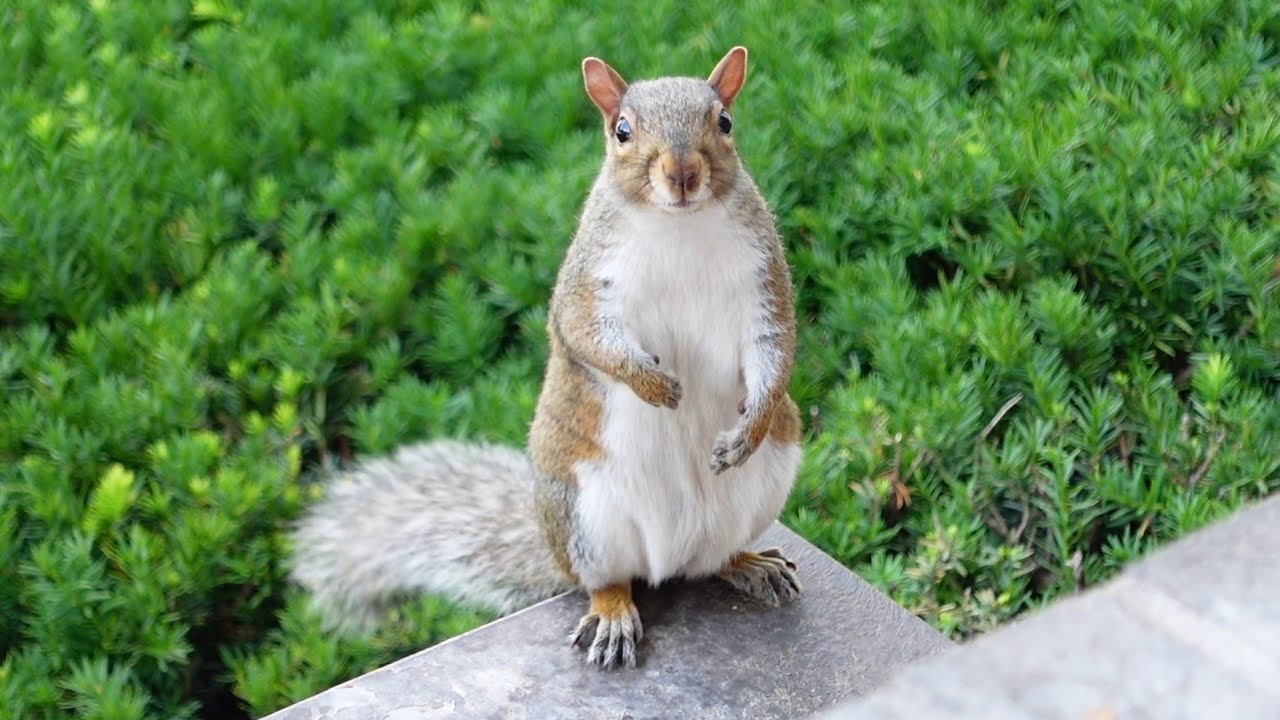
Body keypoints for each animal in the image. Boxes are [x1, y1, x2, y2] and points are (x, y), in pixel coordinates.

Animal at [290, 46, 803, 670]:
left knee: (713, 560)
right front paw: (654, 386)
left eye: (724, 121)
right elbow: (584, 333)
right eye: (622, 131)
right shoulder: (589, 280)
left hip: (770, 475)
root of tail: (669, 561)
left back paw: (749, 564)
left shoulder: (762, 281)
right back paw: (613, 613)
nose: (682, 174)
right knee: (605, 581)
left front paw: (746, 431)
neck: (679, 226)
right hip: (586, 517)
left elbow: (775, 347)